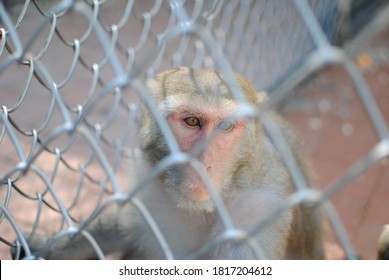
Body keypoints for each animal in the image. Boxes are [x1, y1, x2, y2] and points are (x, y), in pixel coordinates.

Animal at [12, 66, 322, 260]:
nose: (203, 163)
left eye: (226, 126)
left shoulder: (256, 212)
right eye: (192, 121)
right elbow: (122, 228)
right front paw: (43, 247)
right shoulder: (148, 177)